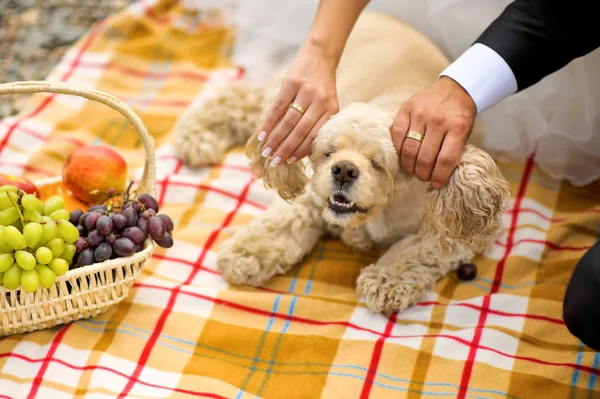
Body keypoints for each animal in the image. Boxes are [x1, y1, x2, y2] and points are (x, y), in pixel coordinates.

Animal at [172, 10, 510, 316]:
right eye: (329, 152)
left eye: (377, 163)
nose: (344, 170)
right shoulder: (313, 197)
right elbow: (283, 223)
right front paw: (247, 252)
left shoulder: (457, 234)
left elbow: (418, 249)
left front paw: (385, 280)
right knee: (238, 99)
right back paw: (197, 137)